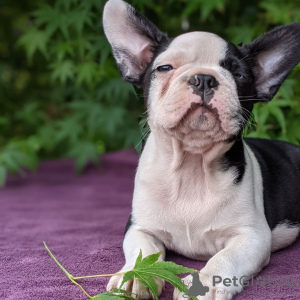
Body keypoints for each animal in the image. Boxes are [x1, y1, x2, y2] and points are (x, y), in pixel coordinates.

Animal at [102, 1, 300, 298]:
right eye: (164, 68)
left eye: (240, 75)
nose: (204, 78)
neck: (192, 166)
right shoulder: (139, 227)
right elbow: (142, 251)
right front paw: (136, 277)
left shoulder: (251, 236)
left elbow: (224, 258)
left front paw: (204, 283)